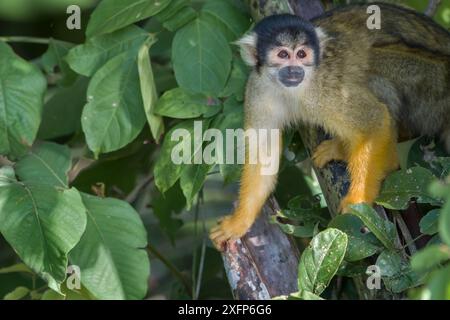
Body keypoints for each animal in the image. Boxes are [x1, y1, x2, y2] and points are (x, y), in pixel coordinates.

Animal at [211, 3, 450, 250]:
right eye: (283, 55)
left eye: (302, 54)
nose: (294, 70)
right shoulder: (257, 90)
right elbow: (263, 154)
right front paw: (238, 223)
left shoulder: (324, 88)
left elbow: (374, 120)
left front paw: (357, 201)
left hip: (430, 86)